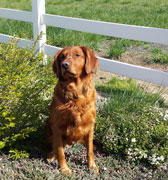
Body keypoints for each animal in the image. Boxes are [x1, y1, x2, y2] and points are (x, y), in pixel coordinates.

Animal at [45, 45, 99, 174]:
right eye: (62, 57)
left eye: (77, 55)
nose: (64, 65)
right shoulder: (57, 126)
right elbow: (60, 151)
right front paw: (64, 168)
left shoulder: (90, 125)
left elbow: (90, 150)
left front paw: (92, 166)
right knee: (55, 146)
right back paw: (51, 156)